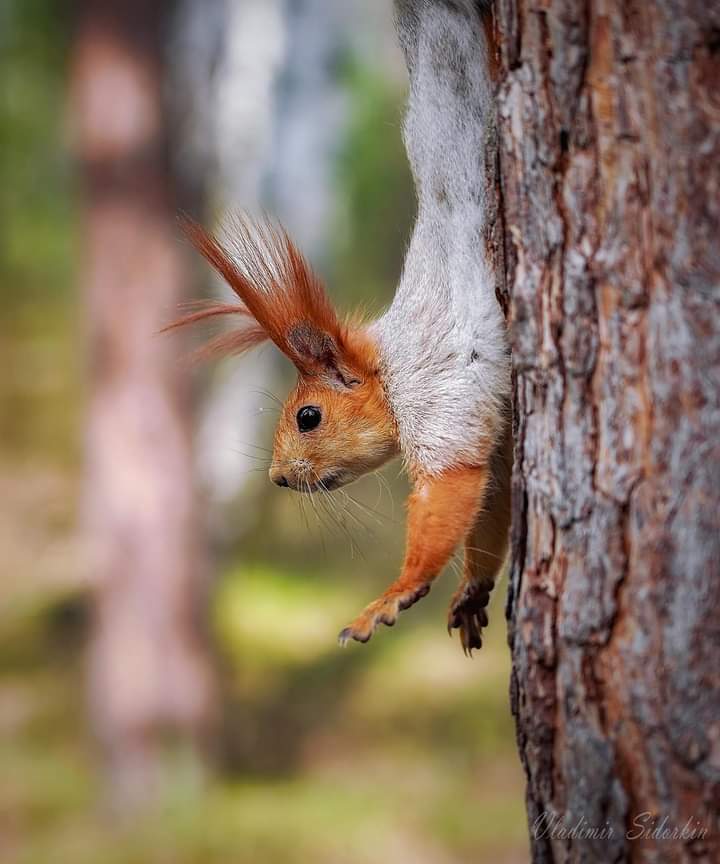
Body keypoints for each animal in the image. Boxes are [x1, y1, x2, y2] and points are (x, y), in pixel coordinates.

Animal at [165, 0, 510, 652]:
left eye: (308, 417)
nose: (276, 478)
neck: (389, 366)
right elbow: (492, 500)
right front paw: (472, 589)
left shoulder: (438, 394)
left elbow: (451, 485)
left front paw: (394, 593)